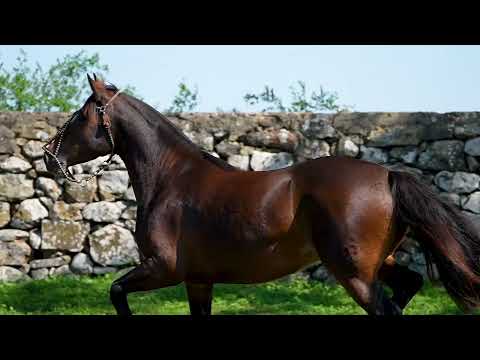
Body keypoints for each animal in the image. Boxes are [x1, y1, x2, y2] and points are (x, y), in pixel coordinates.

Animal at [42, 74, 480, 316]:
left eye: (81, 115)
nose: (49, 156)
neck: (171, 178)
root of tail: (388, 174)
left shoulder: (164, 268)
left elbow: (116, 291)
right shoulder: (198, 281)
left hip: (355, 273)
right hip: (376, 264)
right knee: (410, 284)